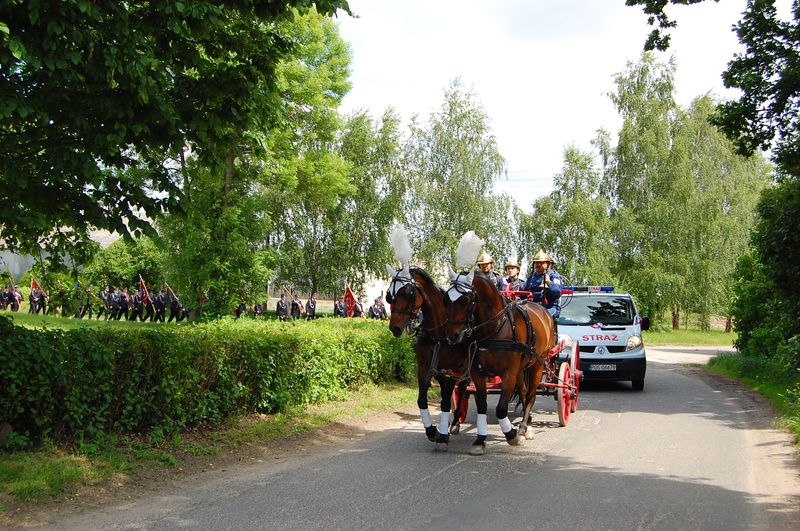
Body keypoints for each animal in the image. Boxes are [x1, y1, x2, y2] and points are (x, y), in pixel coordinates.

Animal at [388, 264, 476, 450]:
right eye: (389, 295)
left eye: (409, 293)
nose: (395, 328)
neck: (438, 334)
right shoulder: (424, 368)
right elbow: (422, 400)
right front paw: (432, 431)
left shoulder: (450, 371)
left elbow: (445, 402)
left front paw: (442, 435)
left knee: (462, 390)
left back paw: (455, 421)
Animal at [444, 268, 556, 446]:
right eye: (447, 299)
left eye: (465, 299)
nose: (452, 335)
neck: (495, 326)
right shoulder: (476, 372)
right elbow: (481, 404)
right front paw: (479, 440)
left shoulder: (508, 373)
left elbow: (501, 408)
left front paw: (512, 435)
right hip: (521, 368)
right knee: (523, 392)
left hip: (538, 364)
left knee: (531, 395)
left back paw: (526, 428)